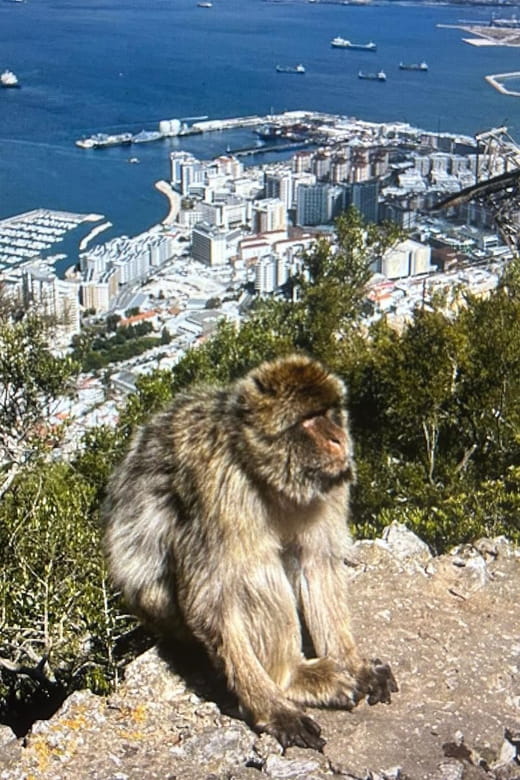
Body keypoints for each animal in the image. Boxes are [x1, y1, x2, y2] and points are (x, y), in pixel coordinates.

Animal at [103, 353, 397, 751]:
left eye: (329, 412)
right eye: (308, 419)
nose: (340, 439)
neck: (260, 474)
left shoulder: (328, 488)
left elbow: (318, 564)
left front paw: (356, 664)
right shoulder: (219, 491)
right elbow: (211, 604)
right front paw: (273, 709)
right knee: (256, 572)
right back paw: (292, 677)